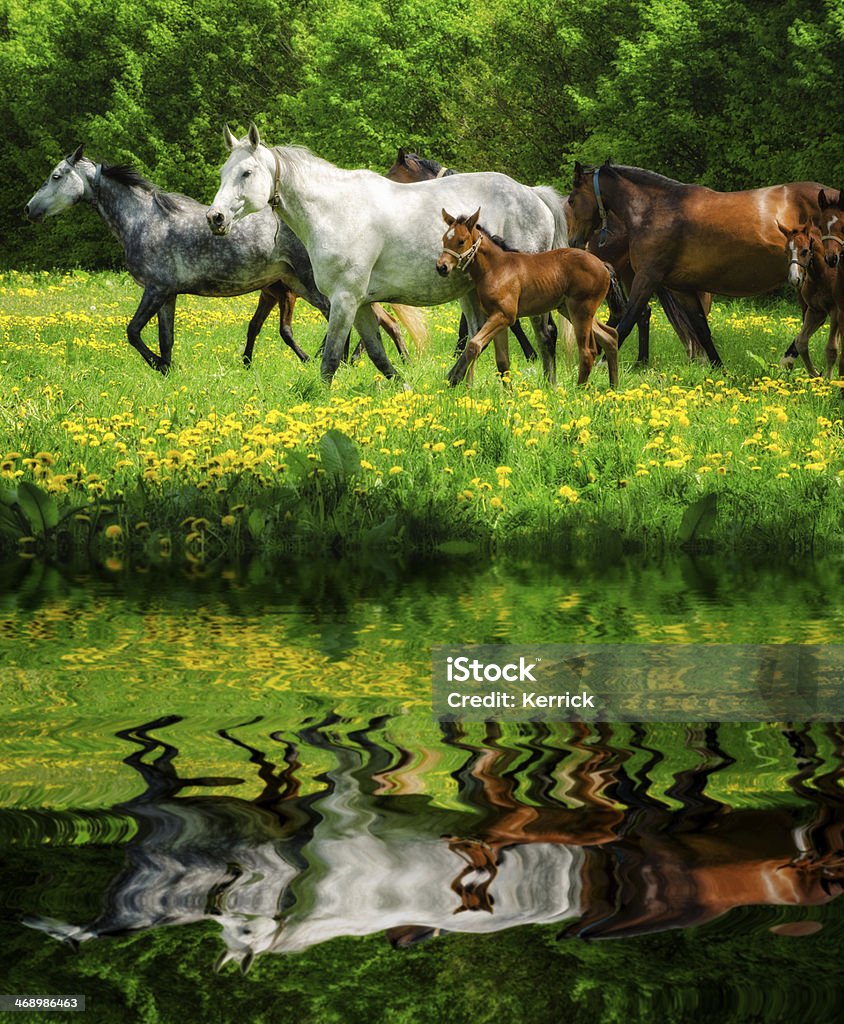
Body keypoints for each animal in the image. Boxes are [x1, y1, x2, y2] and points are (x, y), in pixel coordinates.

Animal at [207, 126, 569, 385]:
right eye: (224, 171)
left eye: (246, 173)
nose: (215, 218)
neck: (335, 210)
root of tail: (532, 193)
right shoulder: (362, 304)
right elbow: (379, 356)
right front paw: (404, 388)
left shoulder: (344, 300)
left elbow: (331, 359)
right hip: (470, 293)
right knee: (478, 338)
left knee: (544, 334)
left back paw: (546, 386)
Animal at [438, 207, 614, 387]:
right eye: (444, 239)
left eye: (461, 241)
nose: (441, 267)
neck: (496, 268)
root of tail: (603, 265)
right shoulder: (495, 316)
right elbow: (502, 360)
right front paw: (508, 393)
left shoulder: (504, 315)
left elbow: (474, 345)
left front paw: (467, 387)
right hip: (571, 310)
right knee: (610, 337)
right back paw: (613, 387)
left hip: (581, 310)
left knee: (587, 351)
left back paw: (579, 389)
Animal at [565, 161, 835, 366]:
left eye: (571, 200)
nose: (574, 242)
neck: (656, 210)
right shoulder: (680, 287)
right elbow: (702, 329)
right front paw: (718, 368)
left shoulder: (647, 278)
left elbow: (628, 319)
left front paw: (602, 364)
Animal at [774, 222, 839, 378]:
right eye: (786, 251)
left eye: (804, 251)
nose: (794, 279)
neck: (822, 276)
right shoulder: (816, 311)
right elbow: (801, 342)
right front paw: (815, 375)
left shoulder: (835, 311)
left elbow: (831, 349)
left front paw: (828, 380)